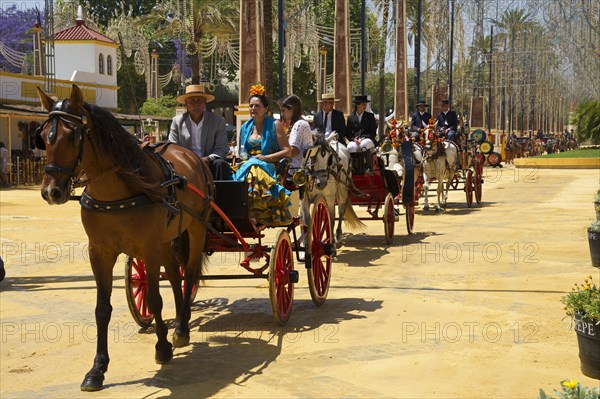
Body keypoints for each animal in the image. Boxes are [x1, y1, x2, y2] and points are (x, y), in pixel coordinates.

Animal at [35, 85, 213, 390]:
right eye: (45, 135)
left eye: (72, 135)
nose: (51, 192)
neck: (116, 191)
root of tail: (191, 156)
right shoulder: (100, 252)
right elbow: (102, 309)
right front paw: (97, 368)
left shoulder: (149, 248)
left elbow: (154, 299)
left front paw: (162, 347)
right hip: (167, 239)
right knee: (175, 277)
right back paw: (181, 318)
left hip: (196, 228)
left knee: (188, 274)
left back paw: (181, 328)